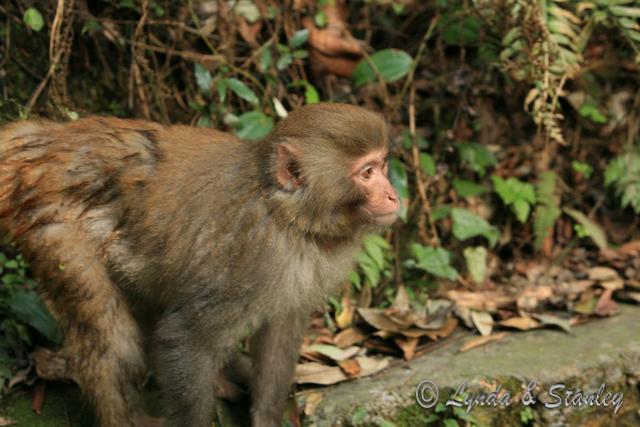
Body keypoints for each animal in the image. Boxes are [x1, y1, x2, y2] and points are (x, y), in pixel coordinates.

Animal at [0, 103, 400, 427]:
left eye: (382, 165)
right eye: (367, 173)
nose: (394, 195)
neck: (289, 217)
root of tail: (49, 141)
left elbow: (280, 333)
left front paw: (267, 415)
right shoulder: (250, 260)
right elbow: (185, 338)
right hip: (55, 226)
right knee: (107, 333)